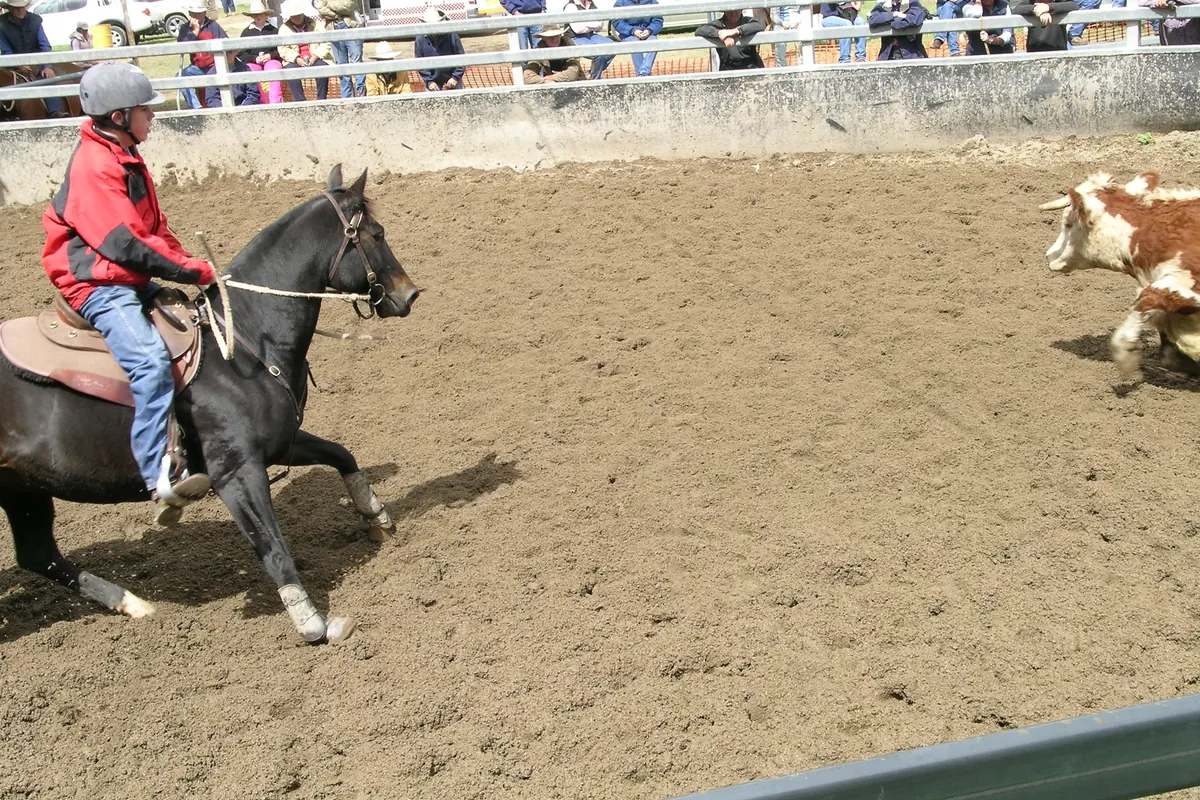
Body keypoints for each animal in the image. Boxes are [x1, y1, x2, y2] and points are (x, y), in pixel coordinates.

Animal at [0, 165, 420, 644]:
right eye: (375, 233)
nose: (409, 294)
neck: (243, 342)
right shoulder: (235, 472)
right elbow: (273, 547)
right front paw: (312, 621)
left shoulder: (279, 443)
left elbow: (341, 454)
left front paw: (376, 517)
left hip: (23, 488)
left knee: (38, 554)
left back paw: (132, 603)